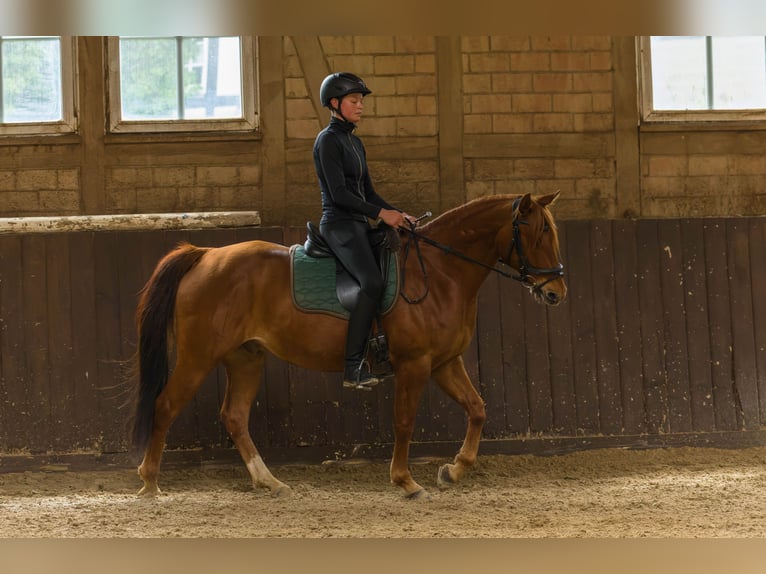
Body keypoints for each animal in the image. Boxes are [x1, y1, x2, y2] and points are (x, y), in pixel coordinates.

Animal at [132, 192, 568, 500]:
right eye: (538, 234)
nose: (556, 293)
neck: (440, 272)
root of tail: (206, 255)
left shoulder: (445, 362)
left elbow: (477, 409)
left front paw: (454, 470)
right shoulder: (415, 364)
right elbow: (404, 421)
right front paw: (405, 481)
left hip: (245, 359)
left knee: (235, 416)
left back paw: (269, 482)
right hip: (198, 357)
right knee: (165, 405)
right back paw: (149, 483)